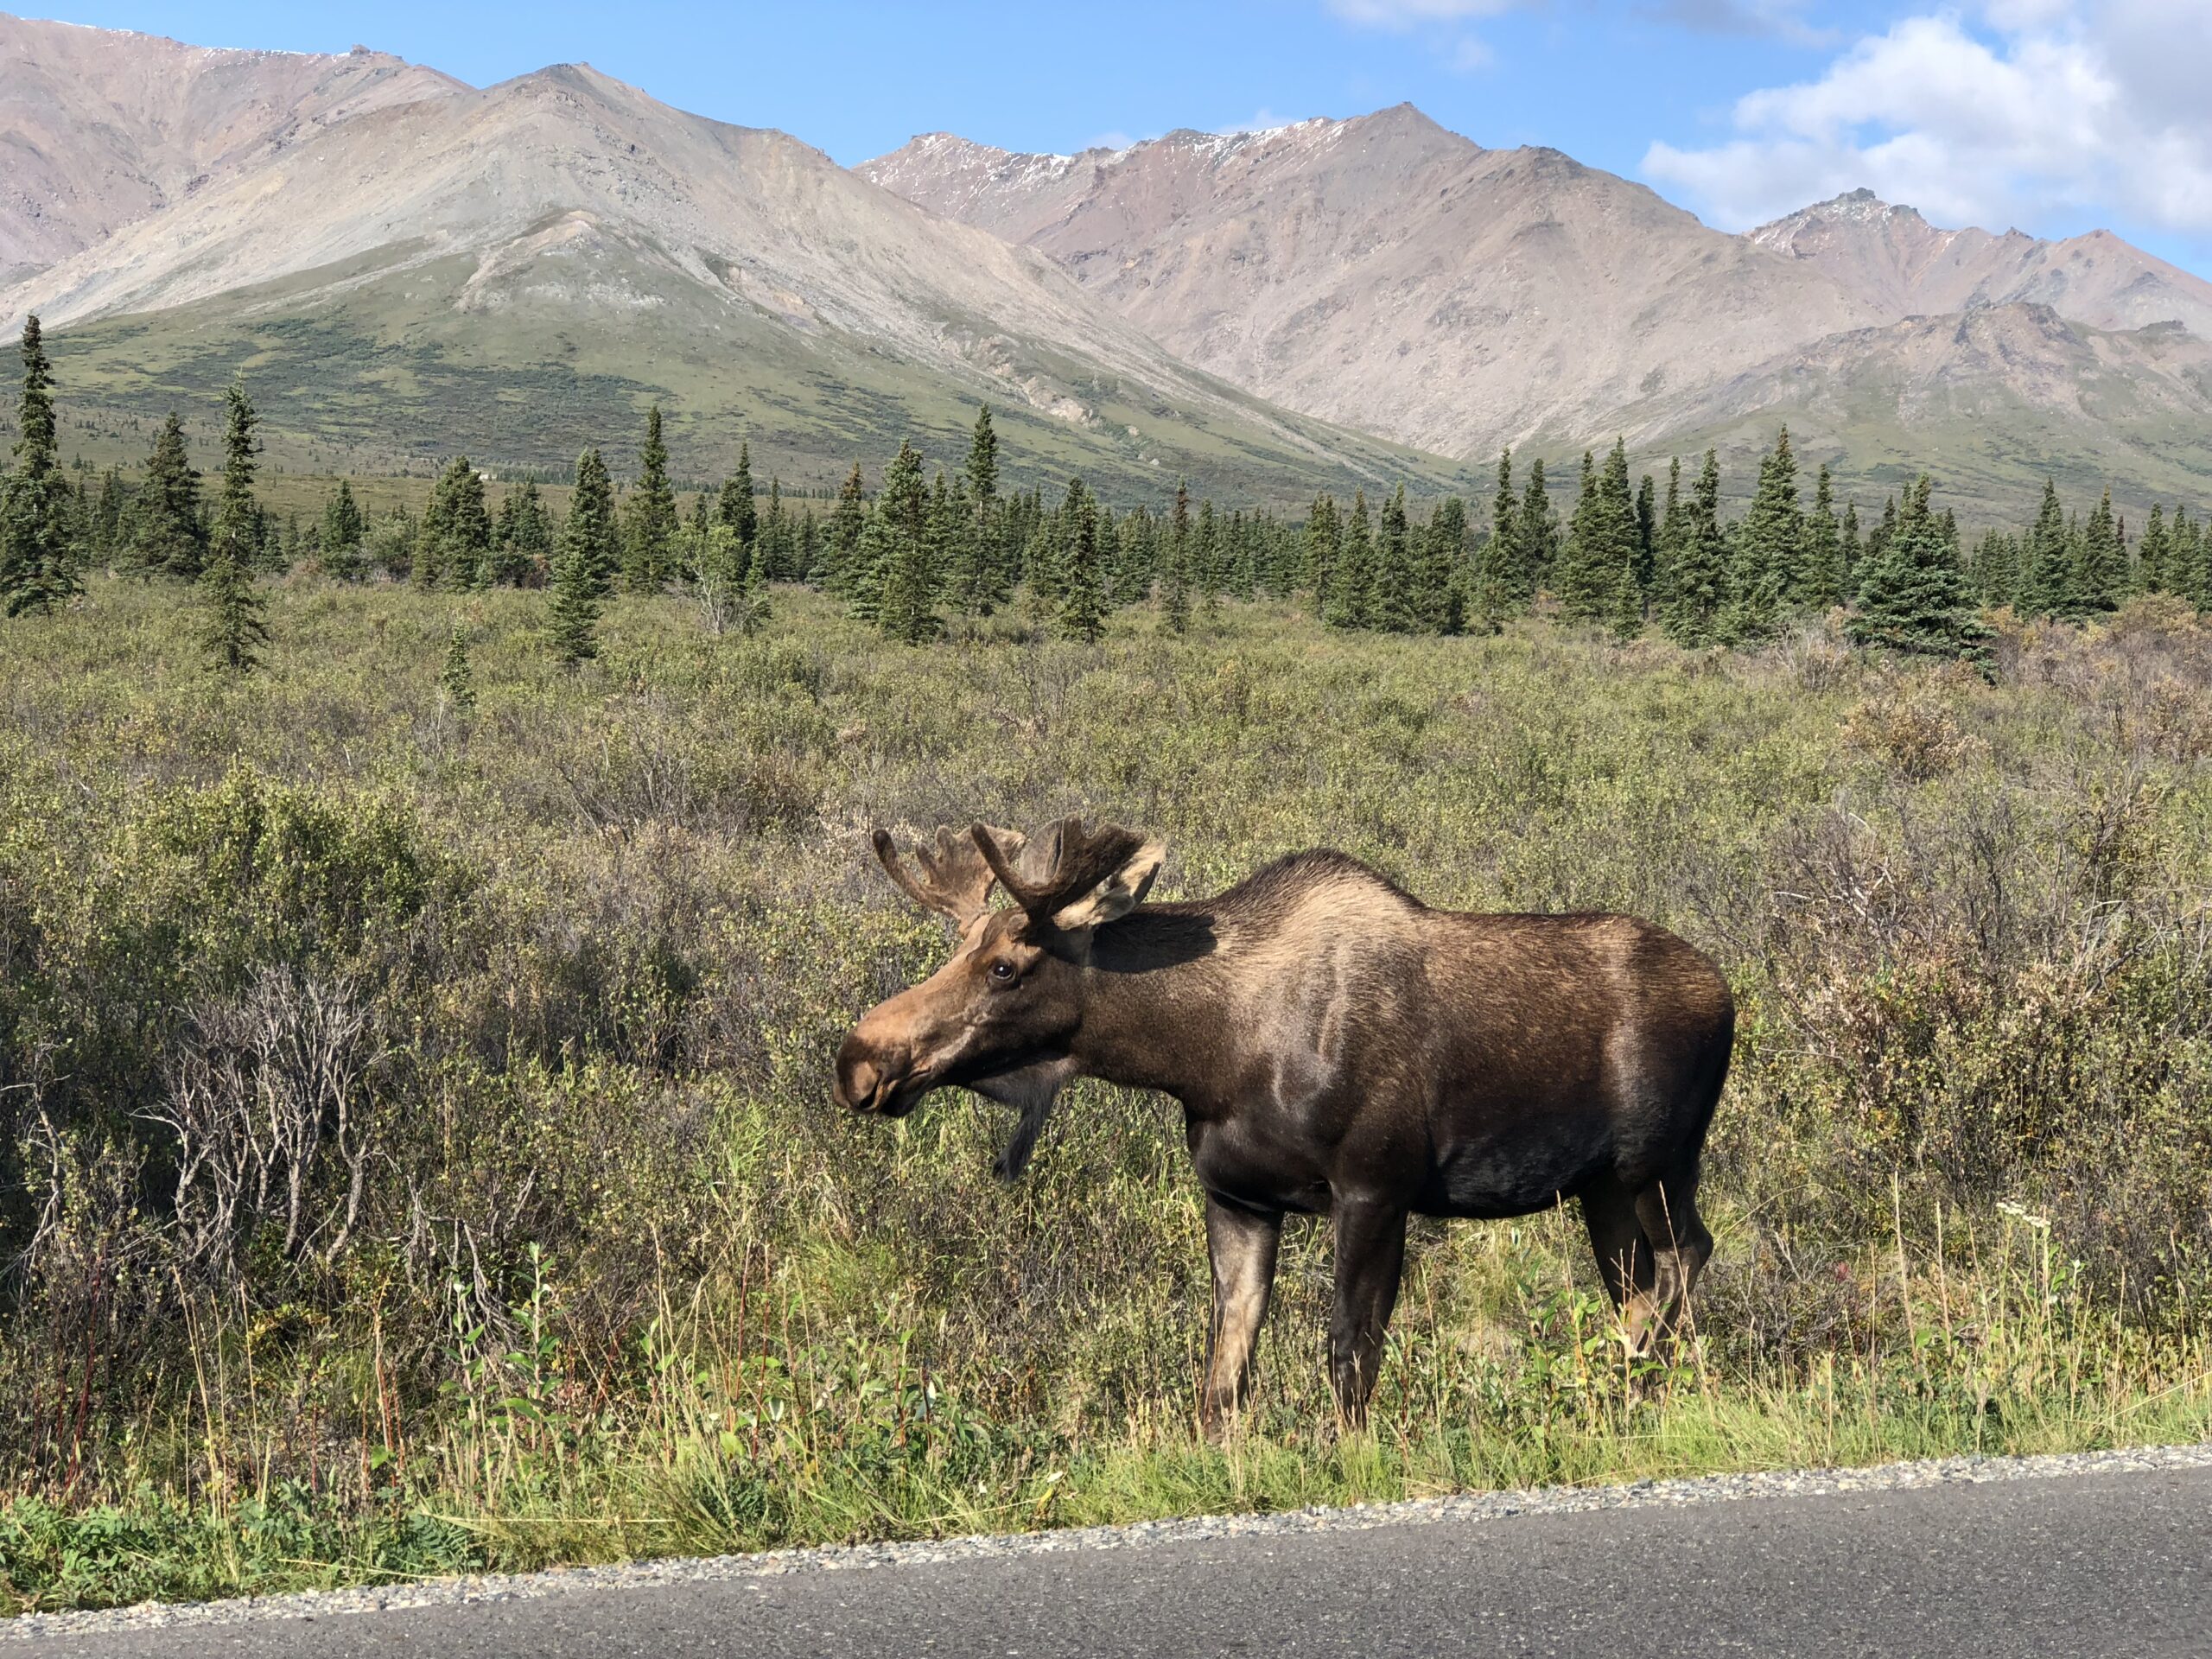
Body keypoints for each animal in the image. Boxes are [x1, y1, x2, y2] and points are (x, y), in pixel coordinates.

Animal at [834, 817, 1735, 1436]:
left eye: (1005, 967)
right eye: (958, 947)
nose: (859, 1059)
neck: (1205, 1055)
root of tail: (1728, 992)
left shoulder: (1375, 1186)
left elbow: (1350, 1350)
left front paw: (1352, 1456)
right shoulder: (1238, 1198)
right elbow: (1224, 1368)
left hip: (1660, 1162)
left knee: (1686, 1256)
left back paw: (1627, 1378)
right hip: (1598, 1187)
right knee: (1634, 1280)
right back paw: (1615, 1393)